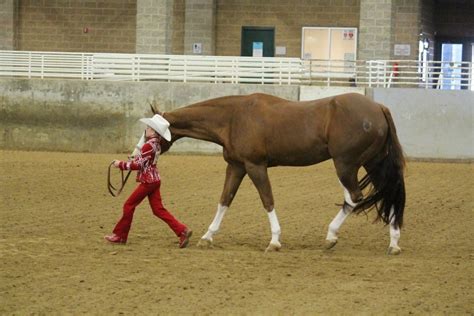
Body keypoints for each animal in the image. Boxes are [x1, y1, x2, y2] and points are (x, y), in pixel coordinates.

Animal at [151, 93, 404, 254]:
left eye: (151, 131)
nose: (142, 150)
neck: (234, 117)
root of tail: (378, 107)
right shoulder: (236, 166)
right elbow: (224, 200)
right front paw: (207, 237)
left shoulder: (255, 166)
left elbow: (267, 201)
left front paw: (274, 241)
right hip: (373, 163)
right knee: (389, 196)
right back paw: (393, 243)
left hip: (345, 164)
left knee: (353, 197)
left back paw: (331, 237)